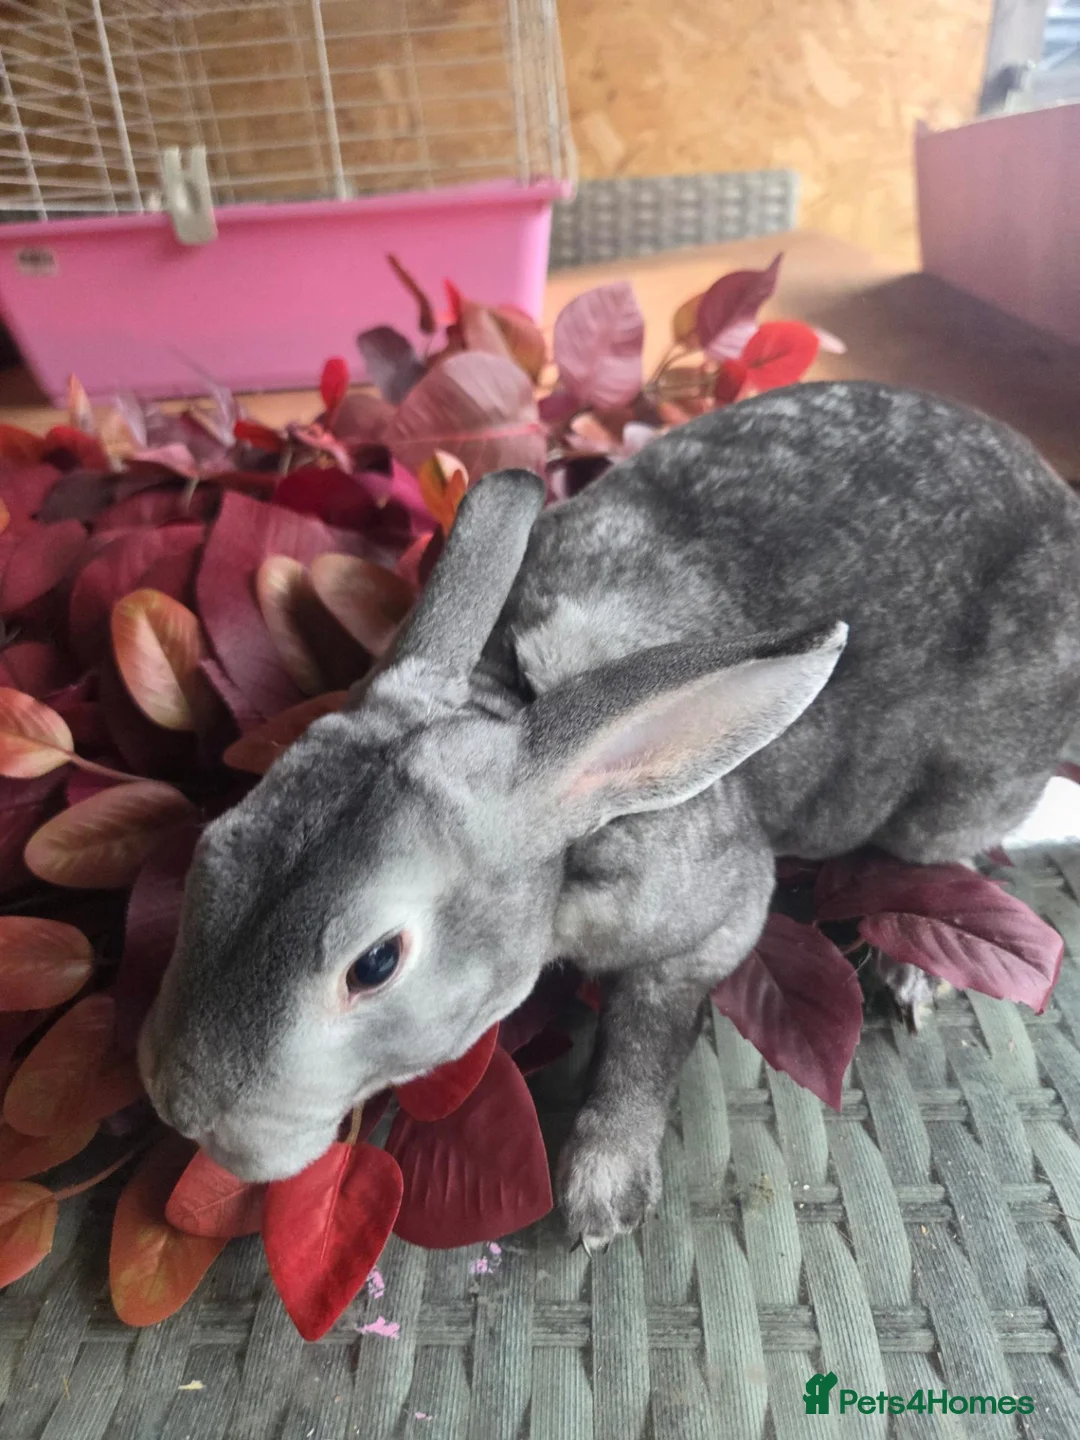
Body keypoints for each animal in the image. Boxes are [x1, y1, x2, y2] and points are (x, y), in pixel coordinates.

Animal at [139, 380, 1080, 1251]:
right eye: (215, 847)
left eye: (374, 964)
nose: (181, 1108)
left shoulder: (715, 923)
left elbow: (645, 1038)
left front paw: (601, 1198)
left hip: (962, 788)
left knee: (947, 851)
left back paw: (911, 973)